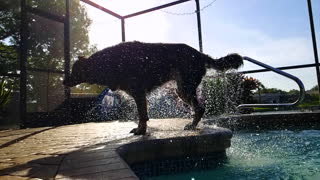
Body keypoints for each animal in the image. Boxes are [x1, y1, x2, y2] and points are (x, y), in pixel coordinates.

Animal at [63, 41, 242, 134]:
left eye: (74, 71)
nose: (63, 82)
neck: (109, 62)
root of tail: (200, 54)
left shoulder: (138, 93)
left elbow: (142, 116)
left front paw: (141, 131)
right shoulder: (138, 95)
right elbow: (143, 116)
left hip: (185, 89)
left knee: (200, 108)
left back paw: (192, 126)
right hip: (181, 90)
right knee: (199, 108)